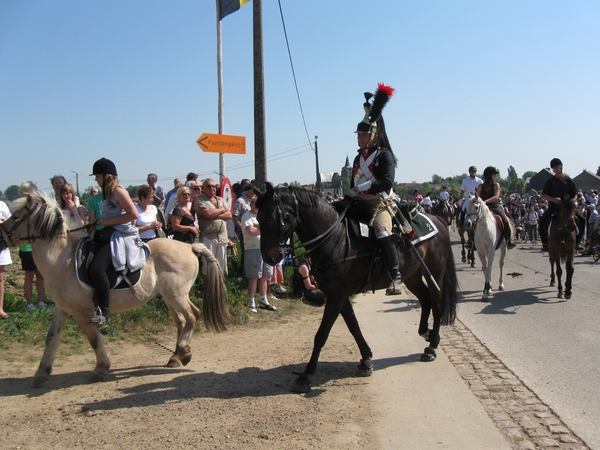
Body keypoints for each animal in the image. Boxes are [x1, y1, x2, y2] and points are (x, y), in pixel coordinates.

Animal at [0, 189, 233, 386]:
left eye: (16, 217)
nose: (1, 236)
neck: (61, 259)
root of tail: (190, 246)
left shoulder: (81, 312)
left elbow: (94, 340)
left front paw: (100, 369)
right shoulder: (62, 308)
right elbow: (51, 338)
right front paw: (41, 372)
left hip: (176, 295)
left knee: (193, 315)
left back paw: (184, 352)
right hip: (169, 296)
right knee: (182, 320)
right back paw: (177, 355)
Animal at [255, 185, 458, 392]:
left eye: (270, 217)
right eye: (257, 218)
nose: (269, 257)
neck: (334, 238)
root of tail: (437, 220)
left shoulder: (337, 296)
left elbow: (322, 334)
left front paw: (306, 374)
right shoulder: (338, 295)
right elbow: (353, 326)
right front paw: (366, 359)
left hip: (434, 272)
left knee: (437, 303)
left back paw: (432, 346)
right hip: (413, 276)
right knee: (425, 300)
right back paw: (426, 333)